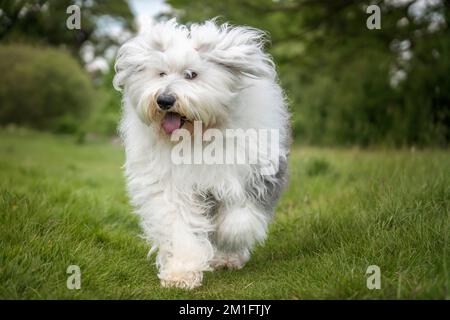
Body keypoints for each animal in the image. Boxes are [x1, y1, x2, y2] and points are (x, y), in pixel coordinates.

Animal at [111, 20, 288, 290]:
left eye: (191, 74)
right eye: (161, 74)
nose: (164, 99)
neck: (197, 135)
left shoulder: (254, 174)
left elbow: (239, 221)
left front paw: (227, 241)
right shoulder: (172, 188)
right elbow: (180, 229)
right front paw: (181, 273)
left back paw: (226, 258)